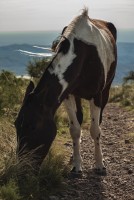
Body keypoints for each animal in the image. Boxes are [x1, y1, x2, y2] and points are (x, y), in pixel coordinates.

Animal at [15, 8, 116, 174]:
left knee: (98, 121)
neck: (84, 54)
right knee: (80, 118)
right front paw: (76, 165)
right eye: (16, 124)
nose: (23, 168)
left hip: (106, 89)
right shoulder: (68, 95)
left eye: (34, 126)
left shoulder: (96, 95)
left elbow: (95, 130)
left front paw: (99, 164)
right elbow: (75, 129)